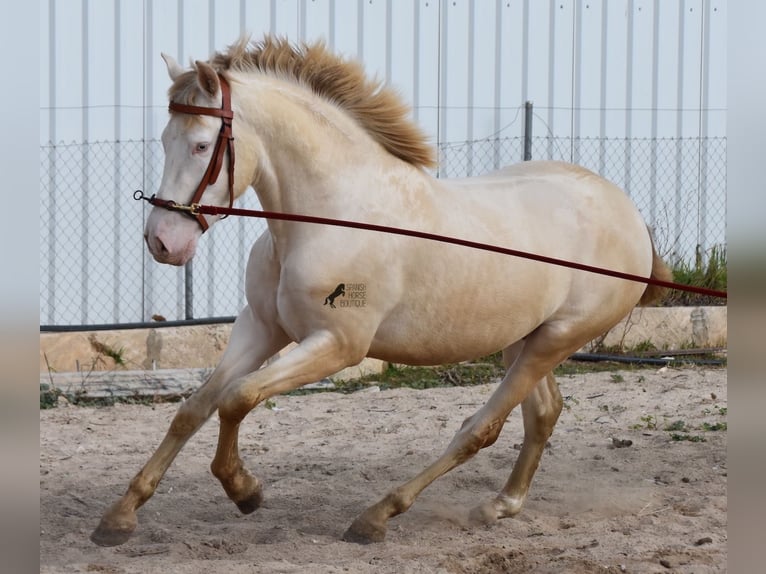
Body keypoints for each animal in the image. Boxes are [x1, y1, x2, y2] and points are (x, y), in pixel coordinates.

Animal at [91, 37, 672, 548]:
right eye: (165, 140)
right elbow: (194, 408)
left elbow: (238, 398)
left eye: (201, 145)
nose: (163, 242)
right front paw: (119, 518)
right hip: (523, 339)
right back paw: (499, 506)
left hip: (556, 339)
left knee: (480, 428)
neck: (330, 215)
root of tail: (626, 210)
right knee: (544, 413)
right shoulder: (262, 327)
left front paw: (245, 491)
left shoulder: (337, 346)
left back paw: (377, 516)